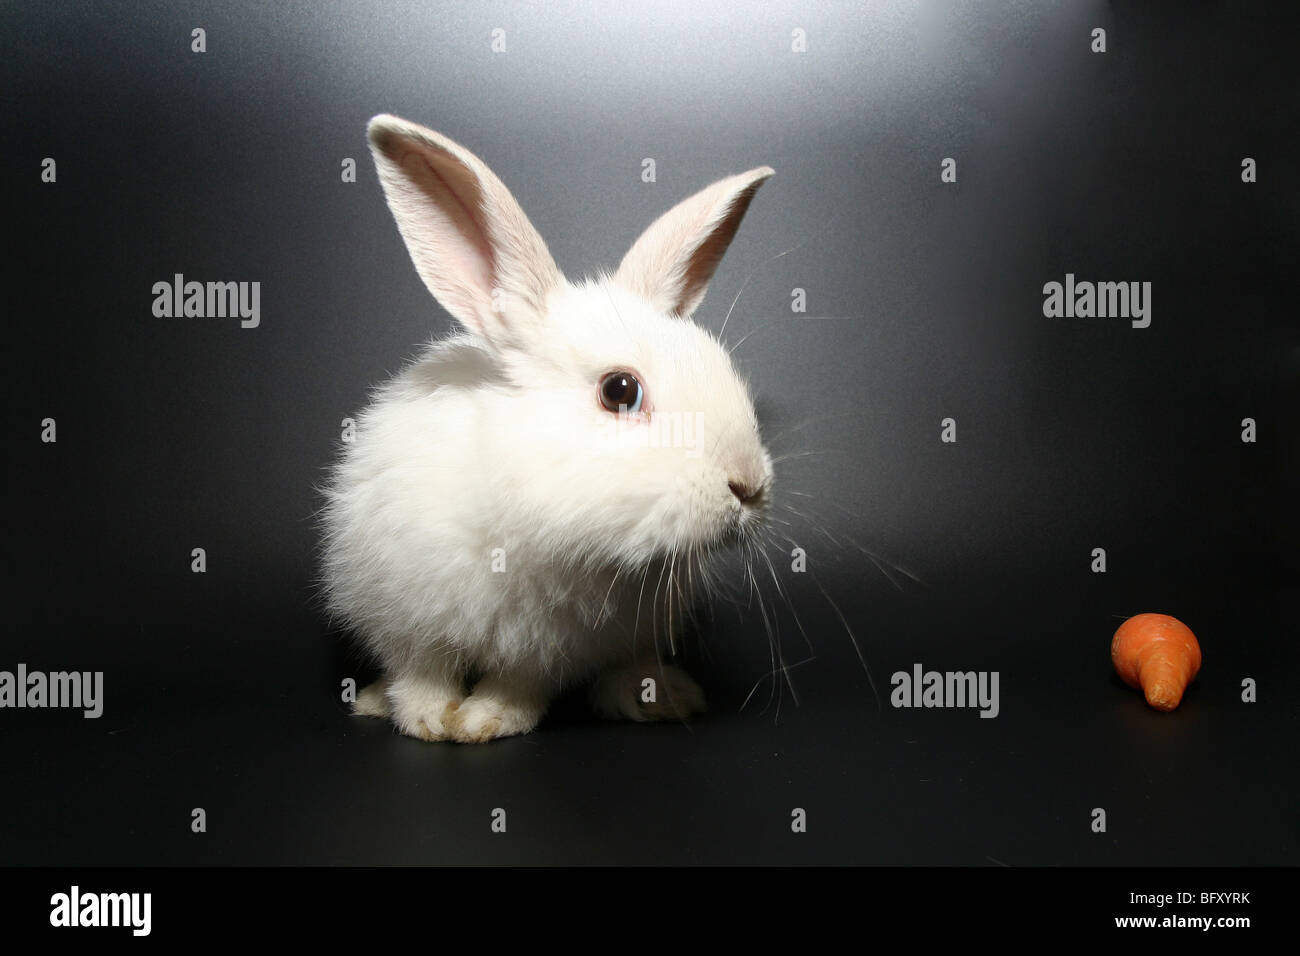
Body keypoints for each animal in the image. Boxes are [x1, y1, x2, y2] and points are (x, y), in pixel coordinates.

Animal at [321, 114, 775, 743]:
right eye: (620, 390)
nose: (749, 487)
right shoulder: (403, 612)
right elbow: (420, 671)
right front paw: (429, 721)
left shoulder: (548, 648)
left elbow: (518, 683)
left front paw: (485, 719)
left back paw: (660, 698)